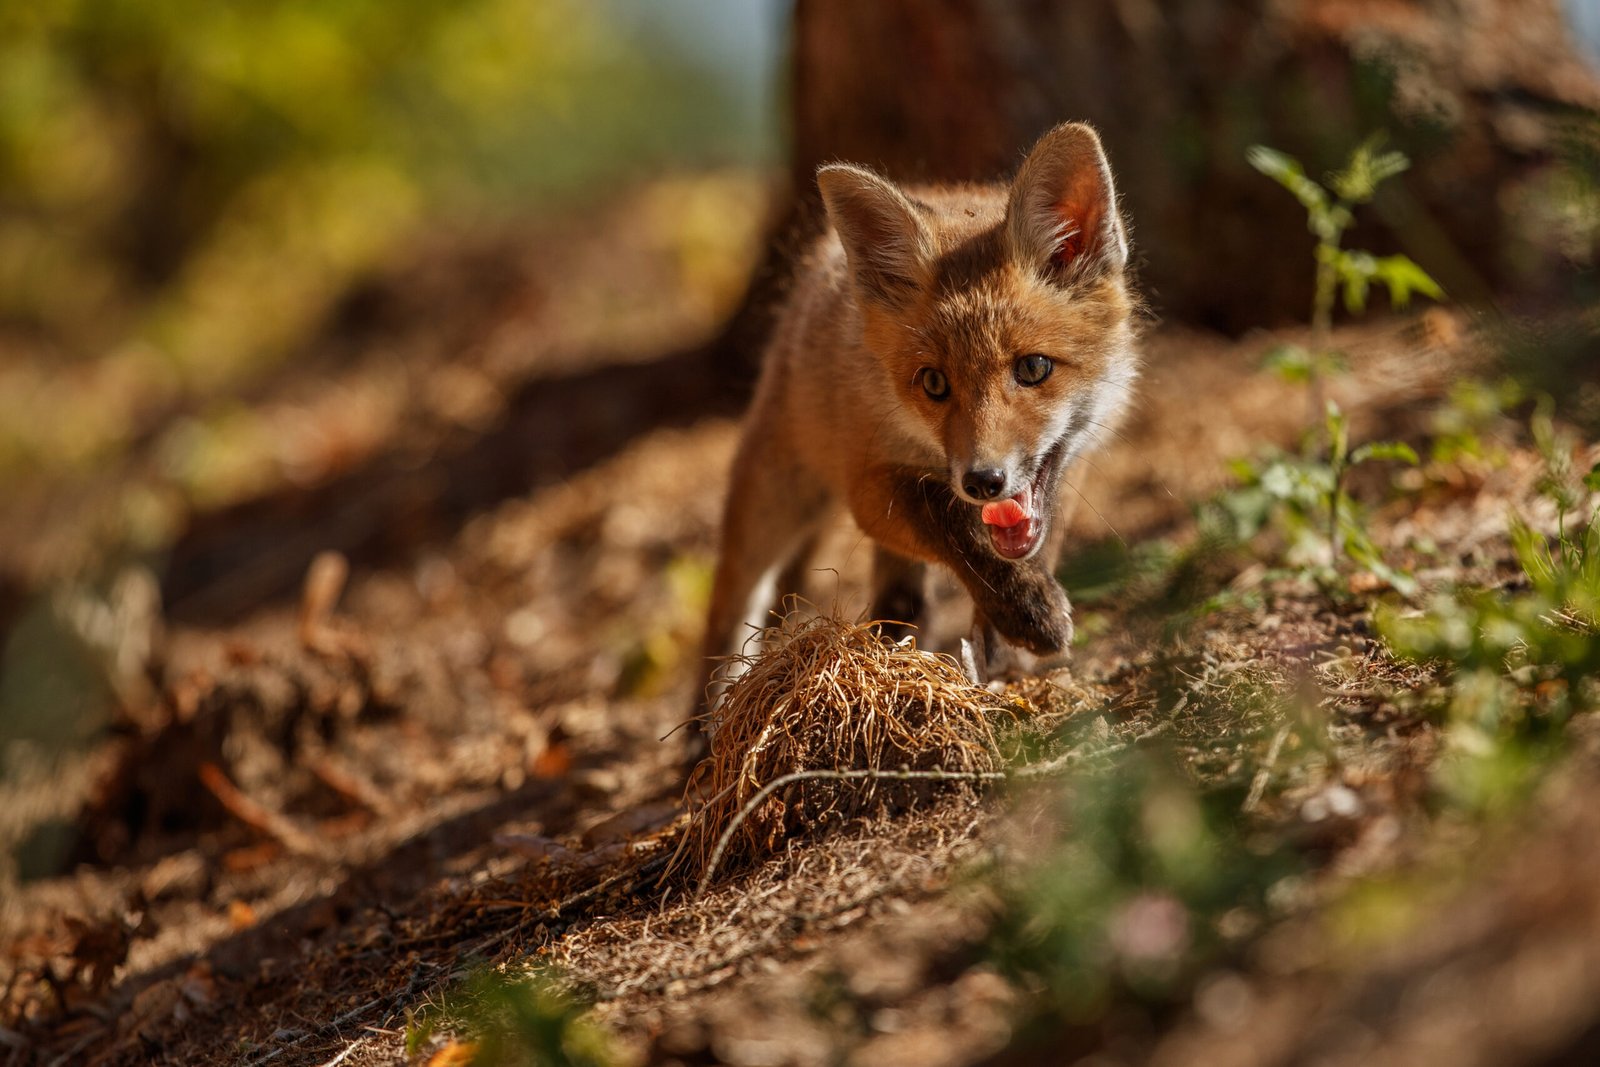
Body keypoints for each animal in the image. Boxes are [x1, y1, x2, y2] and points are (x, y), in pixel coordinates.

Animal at [698, 121, 1139, 722]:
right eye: (933, 384)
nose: (983, 481)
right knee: (729, 610)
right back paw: (705, 725)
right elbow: (946, 517)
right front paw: (1025, 609)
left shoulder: (1073, 464)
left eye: (1033, 368)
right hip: (773, 500)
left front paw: (1005, 641)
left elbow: (1034, 541)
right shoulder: (869, 485)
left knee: (897, 597)